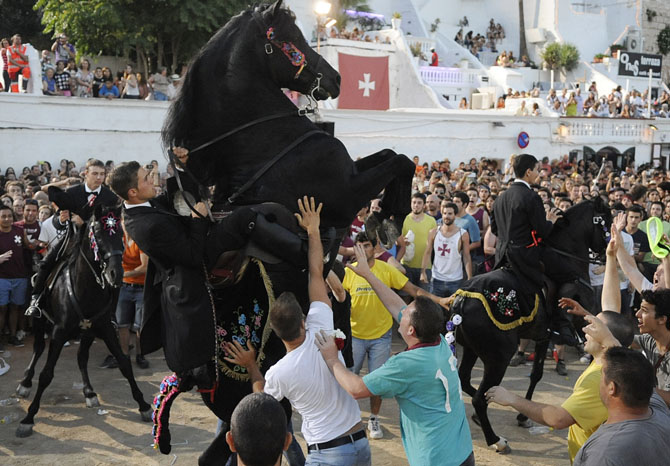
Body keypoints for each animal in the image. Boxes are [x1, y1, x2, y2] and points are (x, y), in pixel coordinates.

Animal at [15, 204, 152, 436]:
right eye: (98, 233)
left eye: (120, 234)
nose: (116, 273)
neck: (85, 288)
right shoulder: (59, 332)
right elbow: (46, 374)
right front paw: (28, 418)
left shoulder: (104, 328)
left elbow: (124, 364)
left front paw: (144, 406)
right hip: (41, 322)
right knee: (38, 349)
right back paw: (24, 383)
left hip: (87, 332)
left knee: (81, 357)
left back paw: (89, 392)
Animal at [153, 1, 418, 464]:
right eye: (291, 38)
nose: (336, 79)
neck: (264, 139)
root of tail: (191, 374)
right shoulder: (345, 193)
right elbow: (400, 159)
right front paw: (389, 216)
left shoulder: (349, 178)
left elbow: (390, 153)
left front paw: (383, 216)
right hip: (249, 392)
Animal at [448, 198, 612, 456]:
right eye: (607, 221)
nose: (606, 254)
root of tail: (464, 298)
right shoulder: (584, 322)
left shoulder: (543, 336)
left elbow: (536, 374)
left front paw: (523, 415)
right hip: (498, 357)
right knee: (478, 397)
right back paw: (496, 439)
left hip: (474, 350)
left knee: (466, 381)